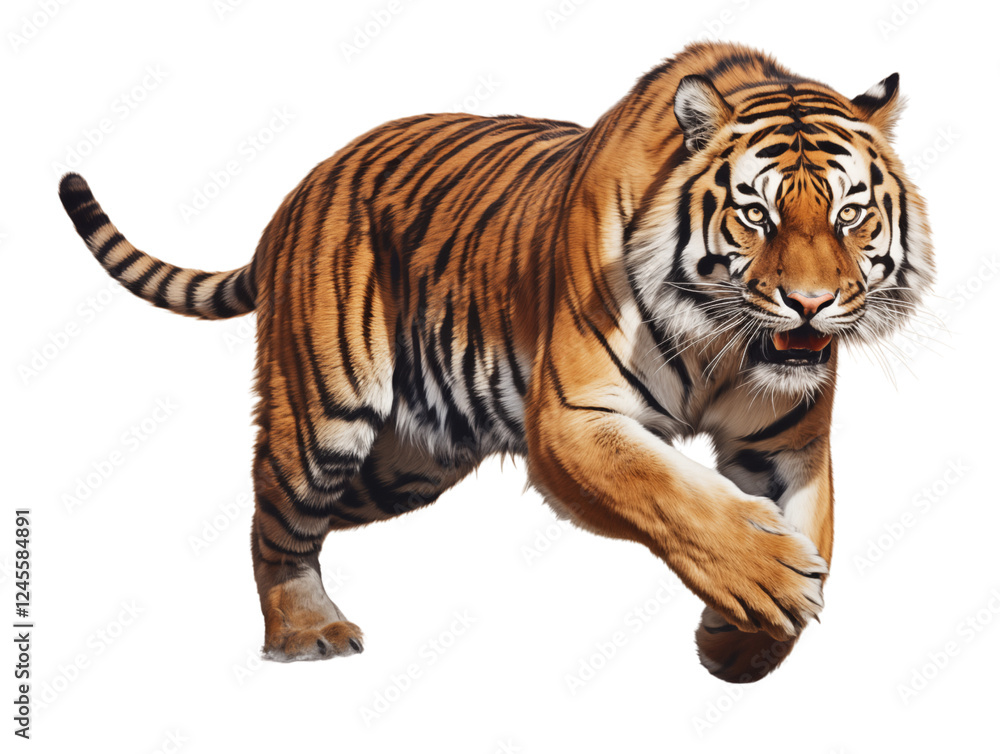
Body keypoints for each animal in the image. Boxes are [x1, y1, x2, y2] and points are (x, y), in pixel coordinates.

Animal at [58, 41, 933, 683]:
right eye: (757, 215)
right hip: (324, 416)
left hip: (408, 463)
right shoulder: (572, 418)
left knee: (306, 516)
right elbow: (671, 493)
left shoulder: (786, 441)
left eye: (850, 215)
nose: (810, 303)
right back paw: (303, 633)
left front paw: (742, 641)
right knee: (274, 515)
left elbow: (813, 530)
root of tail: (299, 191)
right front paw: (766, 580)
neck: (724, 338)